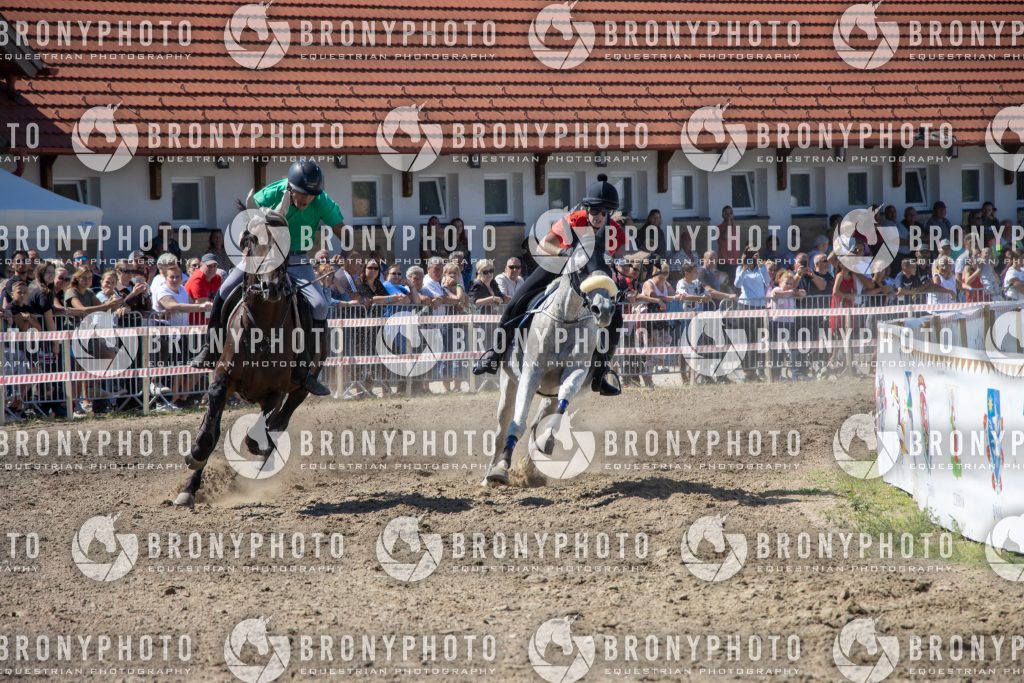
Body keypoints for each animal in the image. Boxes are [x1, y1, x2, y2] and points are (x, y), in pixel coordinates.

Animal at [173, 201, 324, 507]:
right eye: (251, 239)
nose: (272, 286)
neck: (263, 329)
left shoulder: (276, 392)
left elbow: (259, 433)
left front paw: (258, 450)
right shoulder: (223, 379)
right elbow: (210, 432)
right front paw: (194, 461)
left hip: (302, 390)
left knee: (281, 420)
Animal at [482, 251, 619, 486]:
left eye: (610, 269)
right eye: (581, 269)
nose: (603, 310)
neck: (567, 319)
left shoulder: (576, 372)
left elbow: (561, 404)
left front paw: (546, 443)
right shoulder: (531, 373)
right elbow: (518, 423)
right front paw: (501, 468)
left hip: (551, 393)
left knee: (540, 422)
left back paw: (531, 464)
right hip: (509, 382)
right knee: (502, 429)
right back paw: (491, 476)